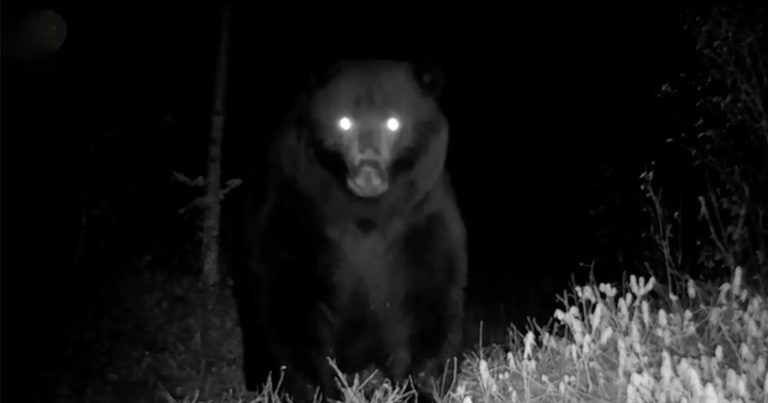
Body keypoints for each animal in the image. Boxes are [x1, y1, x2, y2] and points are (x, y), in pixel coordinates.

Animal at [229, 59, 468, 402]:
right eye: (343, 121)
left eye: (394, 122)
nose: (368, 172)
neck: (364, 213)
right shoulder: (295, 207)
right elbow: (289, 300)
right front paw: (320, 390)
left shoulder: (422, 212)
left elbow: (431, 294)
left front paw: (419, 386)